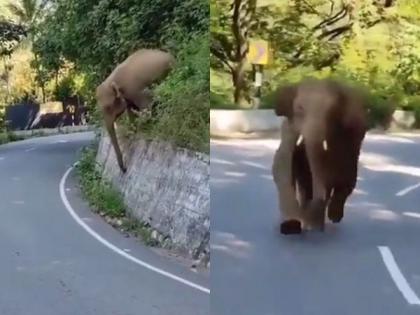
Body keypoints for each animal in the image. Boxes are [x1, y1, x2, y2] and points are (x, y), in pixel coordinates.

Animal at [272, 77, 368, 235]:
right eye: (299, 109)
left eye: (331, 112)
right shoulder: (290, 125)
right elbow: (281, 162)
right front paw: (292, 224)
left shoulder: (350, 133)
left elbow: (342, 171)